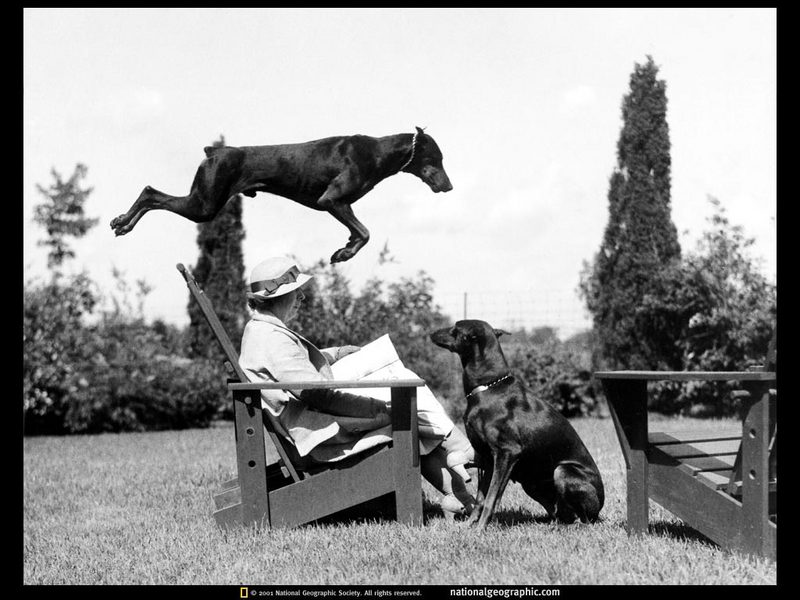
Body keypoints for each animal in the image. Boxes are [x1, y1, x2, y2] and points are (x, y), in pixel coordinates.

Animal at [109, 126, 454, 262]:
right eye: (437, 158)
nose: (449, 186)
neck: (378, 152)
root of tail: (214, 152)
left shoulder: (340, 204)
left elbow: (360, 232)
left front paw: (346, 247)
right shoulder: (331, 200)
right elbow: (366, 232)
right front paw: (344, 253)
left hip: (204, 200)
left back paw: (123, 222)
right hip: (204, 203)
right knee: (150, 193)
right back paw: (124, 222)